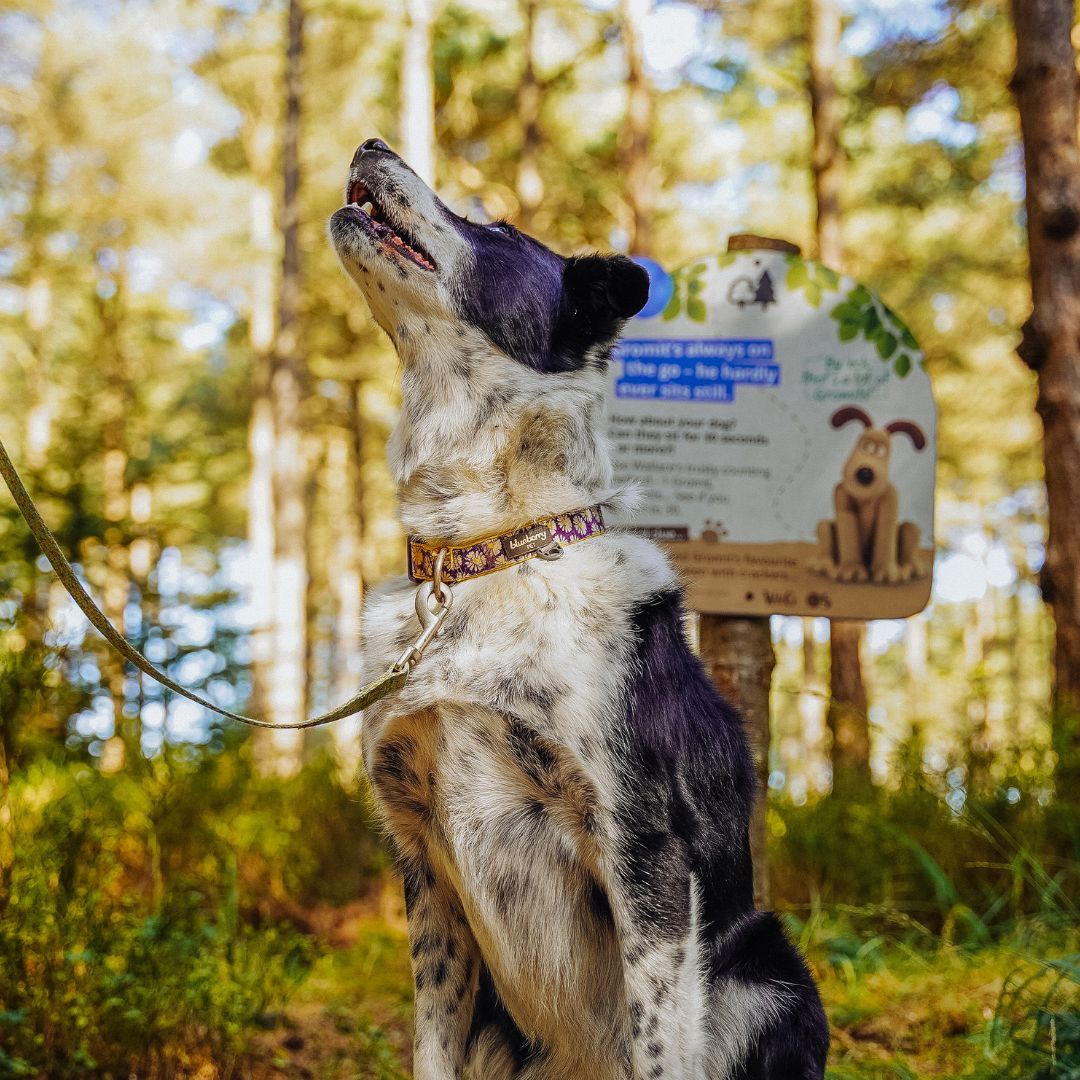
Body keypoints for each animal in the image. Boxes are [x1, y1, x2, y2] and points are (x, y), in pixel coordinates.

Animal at [328, 139, 825, 1075]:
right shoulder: (424, 863)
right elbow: (429, 1049)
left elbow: (660, 1046)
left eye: (496, 229)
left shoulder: (644, 848)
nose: (370, 144)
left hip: (770, 971)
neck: (488, 552)